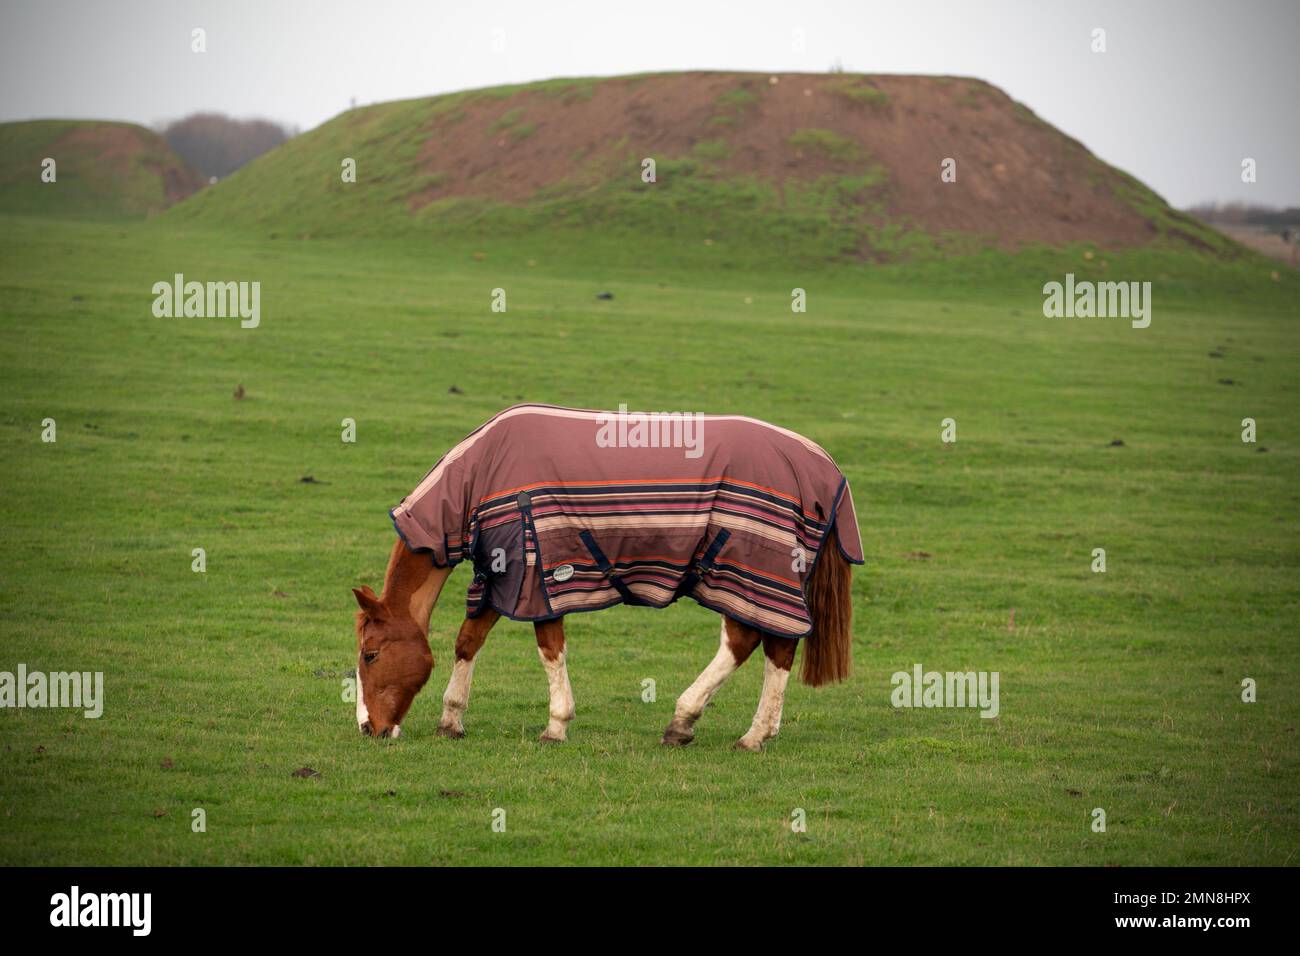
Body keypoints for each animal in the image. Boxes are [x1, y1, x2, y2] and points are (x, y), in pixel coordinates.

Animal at [353, 403, 863, 749]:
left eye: (370, 655)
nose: (368, 728)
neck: (483, 476)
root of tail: (820, 463)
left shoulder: (541, 575)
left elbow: (549, 649)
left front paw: (556, 724)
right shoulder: (500, 577)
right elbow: (467, 641)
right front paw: (452, 719)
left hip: (749, 573)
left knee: (754, 642)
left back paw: (716, 726)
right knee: (767, 646)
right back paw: (733, 727)